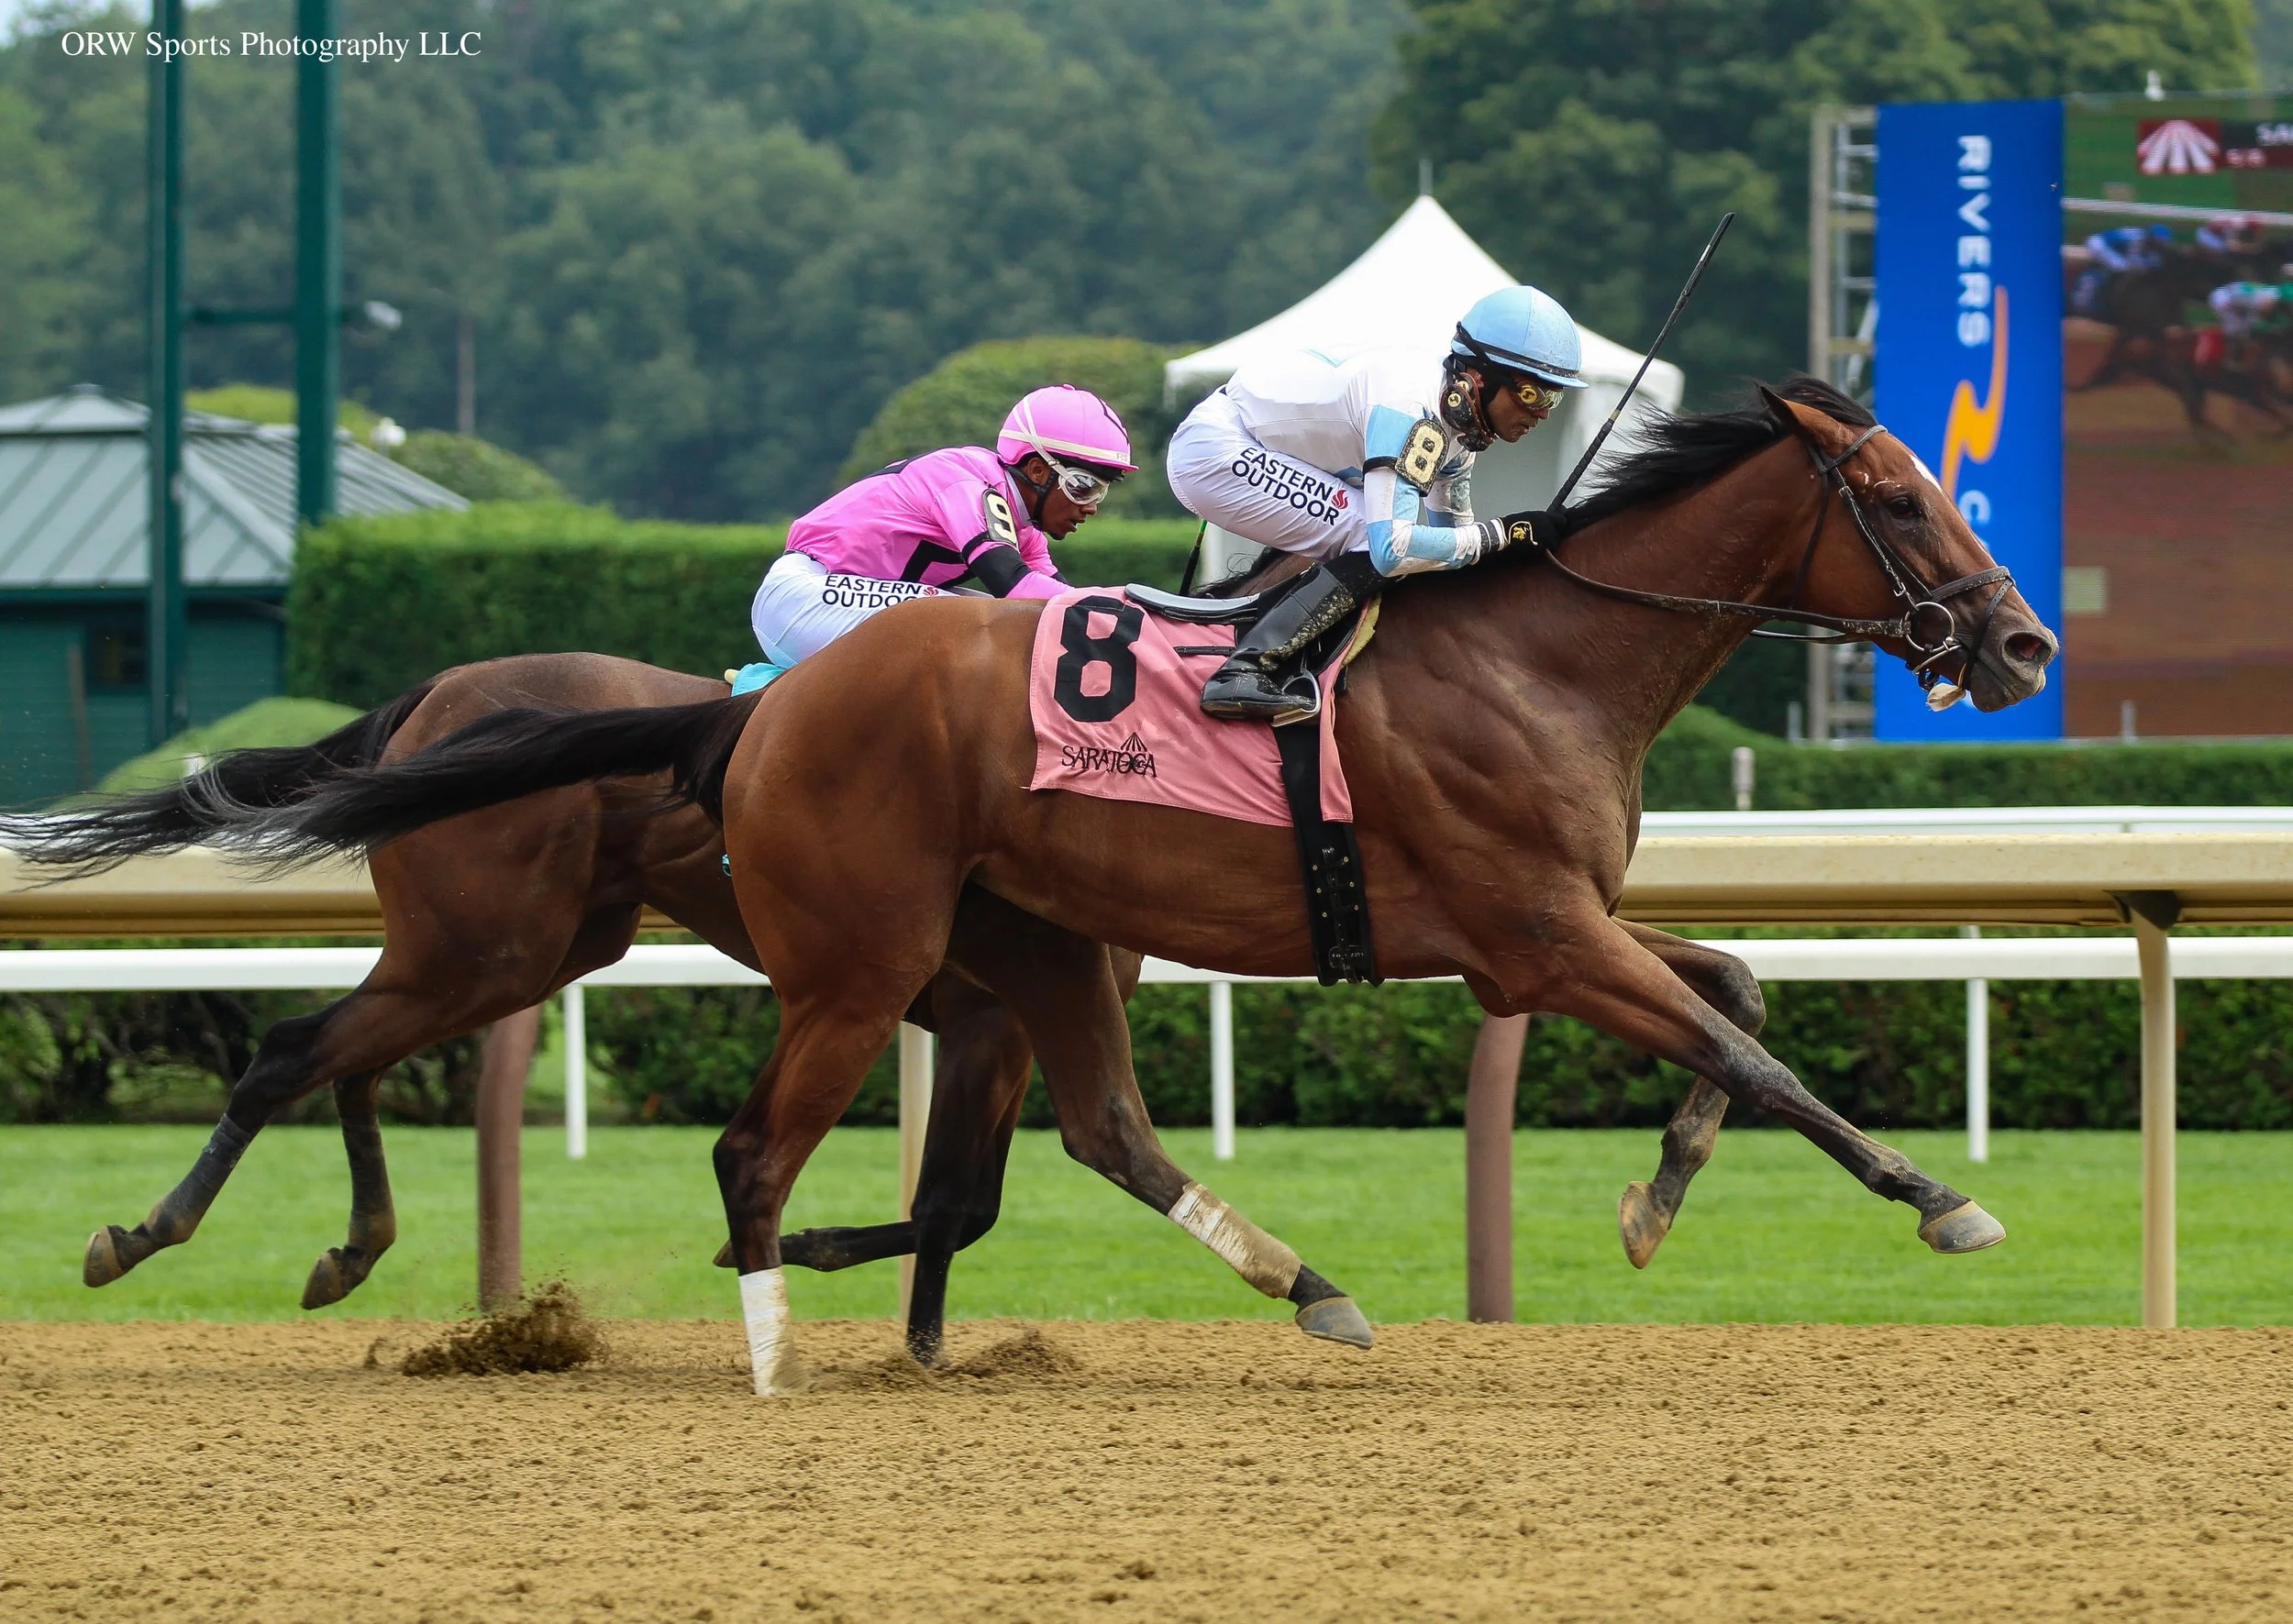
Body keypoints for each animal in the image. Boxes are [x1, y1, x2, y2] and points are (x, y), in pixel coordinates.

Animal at [150, 378, 2058, 1392]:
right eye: (1902, 497)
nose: (2024, 644)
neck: (1541, 659)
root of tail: (747, 719)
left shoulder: (1547, 932)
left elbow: (1736, 995)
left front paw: (1657, 1198)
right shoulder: (1536, 937)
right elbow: (1750, 1046)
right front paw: (1939, 1199)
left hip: (962, 947)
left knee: (1096, 1134)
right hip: (760, 956)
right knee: (669, 1132)